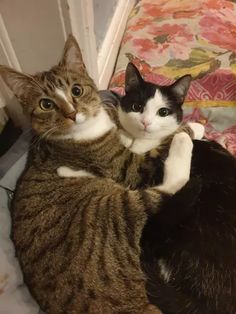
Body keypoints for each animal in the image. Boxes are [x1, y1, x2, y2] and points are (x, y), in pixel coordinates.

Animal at [0, 35, 201, 314]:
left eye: (76, 90)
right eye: (46, 104)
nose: (72, 113)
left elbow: (124, 124)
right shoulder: (124, 167)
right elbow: (154, 147)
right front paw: (187, 129)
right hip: (119, 211)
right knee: (173, 184)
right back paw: (183, 144)